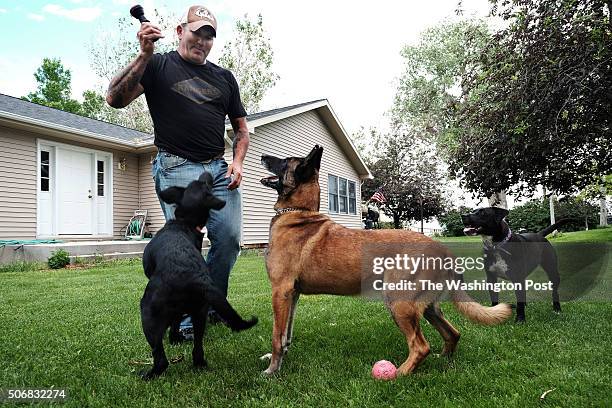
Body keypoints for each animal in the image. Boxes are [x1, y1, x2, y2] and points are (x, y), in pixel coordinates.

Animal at [258, 144, 512, 376]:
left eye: (284, 161)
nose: (262, 155)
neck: (298, 213)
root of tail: (443, 250)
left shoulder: (281, 291)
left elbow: (276, 335)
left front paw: (272, 371)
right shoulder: (293, 295)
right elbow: (286, 334)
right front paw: (279, 359)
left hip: (398, 301)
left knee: (421, 346)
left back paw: (398, 374)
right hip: (427, 306)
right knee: (453, 333)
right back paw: (444, 362)